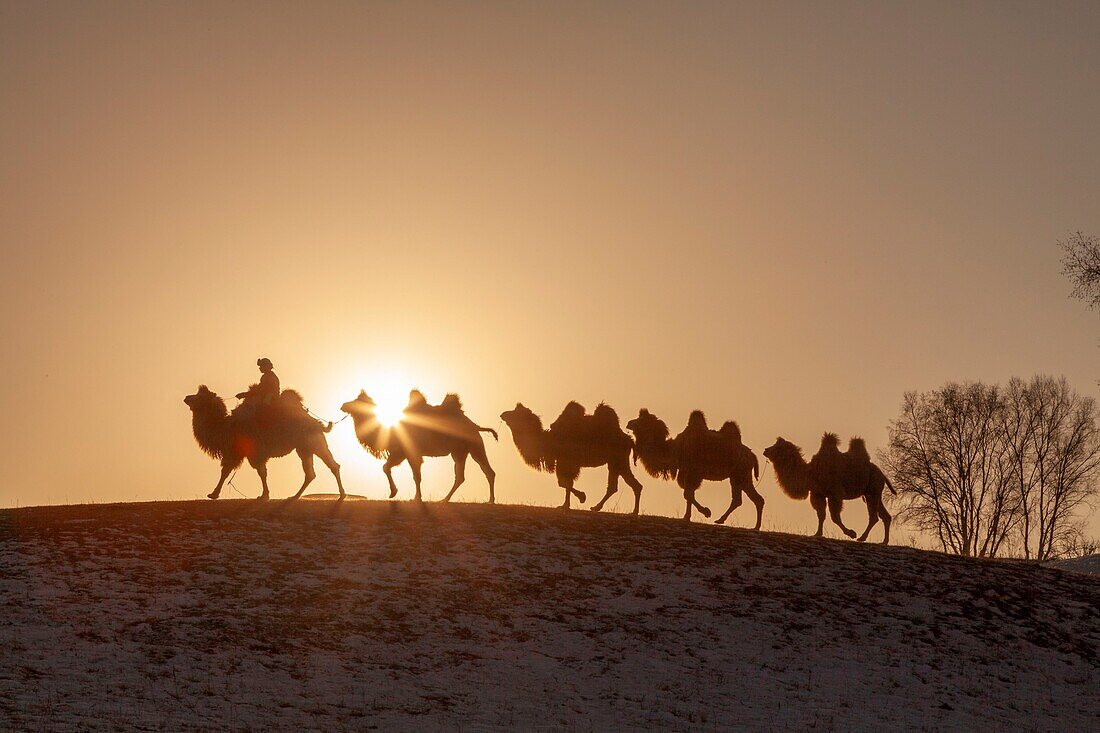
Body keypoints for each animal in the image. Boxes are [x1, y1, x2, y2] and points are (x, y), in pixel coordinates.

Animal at [182, 383, 343, 497]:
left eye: (200, 396)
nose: (186, 398)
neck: (226, 427)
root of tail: (318, 424)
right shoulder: (239, 452)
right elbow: (233, 471)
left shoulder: (248, 452)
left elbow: (252, 472)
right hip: (306, 448)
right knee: (315, 471)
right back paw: (297, 496)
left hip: (313, 444)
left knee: (327, 467)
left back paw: (339, 494)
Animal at [341, 387, 497, 501]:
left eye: (357, 400)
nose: (343, 405)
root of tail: (475, 426)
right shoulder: (402, 453)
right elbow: (389, 468)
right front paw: (397, 493)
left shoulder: (407, 452)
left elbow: (413, 475)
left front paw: (409, 496)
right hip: (460, 451)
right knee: (462, 476)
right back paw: (445, 500)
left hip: (474, 446)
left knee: (486, 471)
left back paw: (490, 500)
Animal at [501, 400, 642, 508]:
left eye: (516, 413)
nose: (502, 414)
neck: (548, 440)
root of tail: (629, 440)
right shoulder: (563, 462)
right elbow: (565, 483)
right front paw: (567, 504)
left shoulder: (568, 461)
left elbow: (565, 483)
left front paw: (580, 498)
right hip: (615, 461)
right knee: (623, 485)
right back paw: (601, 508)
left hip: (618, 459)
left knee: (625, 485)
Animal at [629, 407, 765, 521]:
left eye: (642, 421)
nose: (629, 423)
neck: (675, 450)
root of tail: (753, 456)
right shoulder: (685, 471)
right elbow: (688, 494)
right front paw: (687, 517)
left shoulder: (694, 472)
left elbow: (688, 494)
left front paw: (706, 512)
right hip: (742, 476)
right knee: (754, 499)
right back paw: (753, 526)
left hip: (739, 474)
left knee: (740, 499)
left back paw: (723, 520)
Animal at [765, 431, 893, 539]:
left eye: (778, 447)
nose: (765, 450)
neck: (811, 473)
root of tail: (882, 473)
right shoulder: (818, 494)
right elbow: (821, 515)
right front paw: (817, 534)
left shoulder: (835, 493)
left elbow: (834, 517)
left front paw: (851, 533)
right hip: (872, 493)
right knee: (885, 516)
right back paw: (884, 541)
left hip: (873, 489)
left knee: (874, 516)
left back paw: (862, 537)